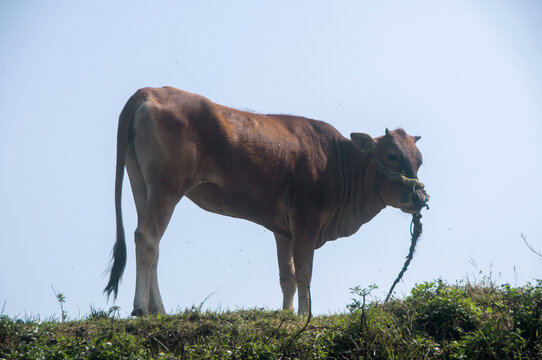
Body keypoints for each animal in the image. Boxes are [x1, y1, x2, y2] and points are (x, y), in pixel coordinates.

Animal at [104, 86, 432, 316]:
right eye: (392, 155)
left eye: (419, 160)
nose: (419, 197)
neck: (338, 163)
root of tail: (149, 91)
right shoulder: (306, 221)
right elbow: (303, 273)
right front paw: (304, 315)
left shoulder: (282, 229)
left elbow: (286, 275)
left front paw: (286, 315)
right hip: (167, 189)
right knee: (147, 237)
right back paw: (141, 308)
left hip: (142, 187)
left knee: (153, 244)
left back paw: (158, 308)